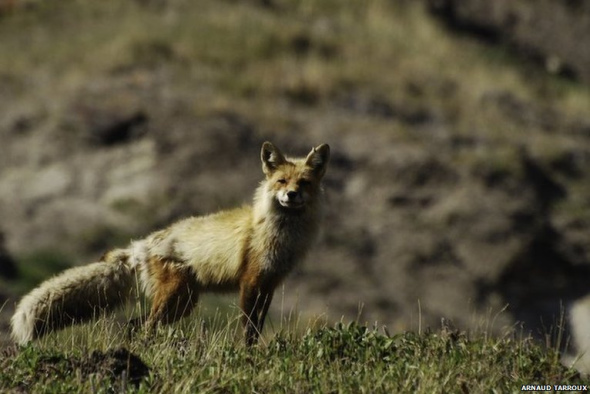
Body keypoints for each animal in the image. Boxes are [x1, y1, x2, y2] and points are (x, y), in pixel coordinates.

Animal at [11, 142, 330, 344]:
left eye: (304, 183)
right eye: (281, 181)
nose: (291, 195)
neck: (279, 235)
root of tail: (141, 244)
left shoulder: (269, 284)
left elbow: (258, 326)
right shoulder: (250, 282)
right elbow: (249, 331)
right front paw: (248, 356)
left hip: (182, 304)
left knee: (133, 326)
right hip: (176, 298)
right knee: (142, 327)